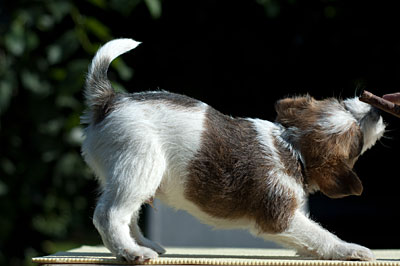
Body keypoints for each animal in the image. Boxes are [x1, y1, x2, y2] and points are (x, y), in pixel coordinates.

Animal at [80, 38, 384, 262]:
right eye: (357, 138)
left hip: (129, 175)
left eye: (343, 103)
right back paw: (131, 252)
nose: (376, 110)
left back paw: (143, 244)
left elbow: (311, 239)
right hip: (141, 166)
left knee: (128, 215)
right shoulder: (279, 217)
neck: (292, 147)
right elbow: (320, 234)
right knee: (109, 214)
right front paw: (349, 249)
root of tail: (109, 100)